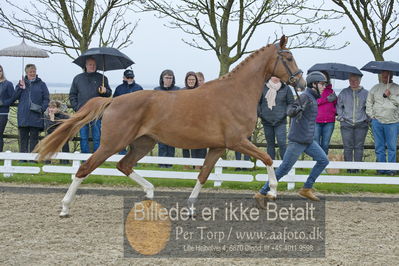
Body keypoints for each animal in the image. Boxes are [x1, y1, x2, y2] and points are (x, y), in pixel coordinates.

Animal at [35, 36, 306, 217]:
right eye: (289, 57)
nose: (302, 83)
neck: (235, 93)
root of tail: (113, 99)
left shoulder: (218, 147)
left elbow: (203, 175)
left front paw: (190, 208)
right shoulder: (238, 141)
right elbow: (268, 158)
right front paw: (271, 192)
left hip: (143, 143)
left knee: (124, 165)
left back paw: (150, 192)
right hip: (113, 143)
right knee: (85, 168)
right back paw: (65, 207)